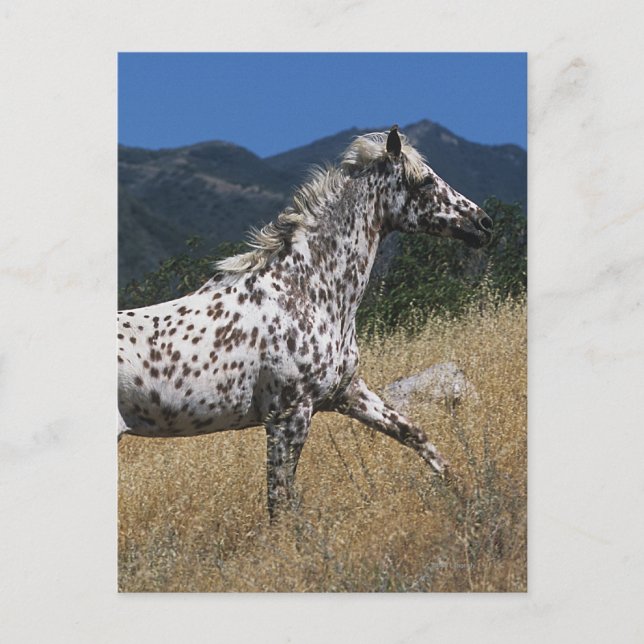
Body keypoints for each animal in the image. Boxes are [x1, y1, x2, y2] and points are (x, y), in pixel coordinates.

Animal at [117, 126, 492, 517]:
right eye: (423, 181)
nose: (484, 223)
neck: (308, 290)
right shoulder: (290, 415)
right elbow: (280, 501)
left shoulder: (347, 392)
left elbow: (414, 433)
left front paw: (464, 492)